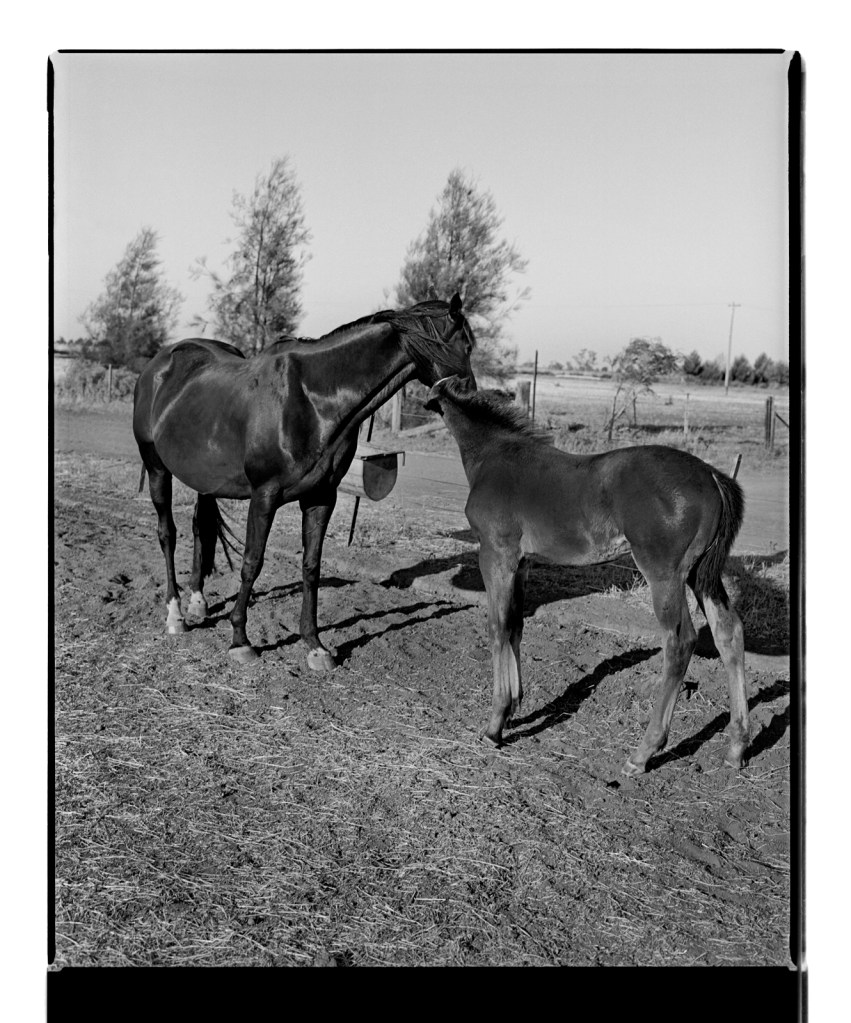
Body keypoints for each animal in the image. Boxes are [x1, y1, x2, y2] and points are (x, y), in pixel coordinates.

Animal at [132, 295, 476, 670]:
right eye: (467, 346)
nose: (473, 398)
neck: (312, 400)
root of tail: (157, 366)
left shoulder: (321, 496)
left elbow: (311, 566)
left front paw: (314, 645)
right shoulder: (264, 496)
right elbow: (252, 562)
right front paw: (240, 640)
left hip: (203, 477)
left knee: (200, 528)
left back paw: (197, 602)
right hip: (157, 469)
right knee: (168, 534)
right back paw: (175, 614)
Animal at [424, 375, 748, 776]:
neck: (493, 455)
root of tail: (713, 476)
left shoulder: (496, 554)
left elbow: (497, 627)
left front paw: (495, 724)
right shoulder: (523, 563)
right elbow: (515, 625)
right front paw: (515, 706)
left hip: (664, 573)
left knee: (680, 641)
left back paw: (642, 753)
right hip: (701, 574)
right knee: (728, 632)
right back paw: (736, 747)